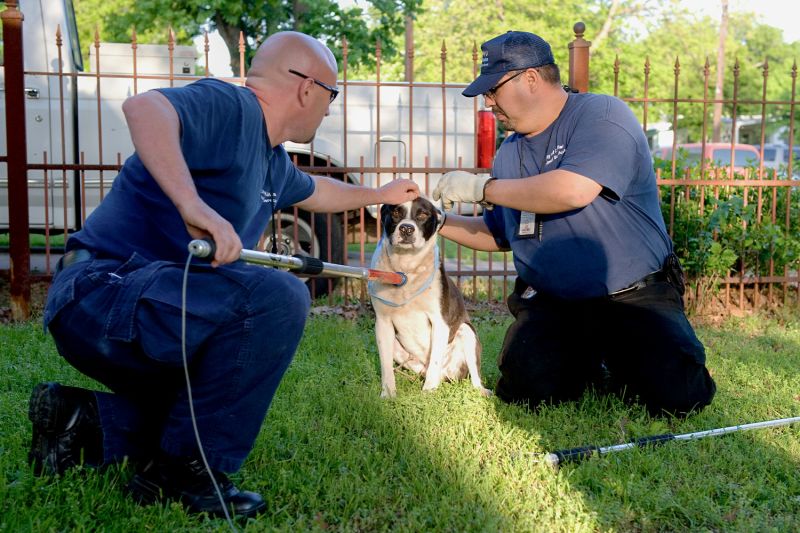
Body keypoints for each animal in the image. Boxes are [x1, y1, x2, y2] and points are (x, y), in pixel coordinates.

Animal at [368, 197, 488, 396]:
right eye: (396, 212)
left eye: (423, 215)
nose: (406, 228)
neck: (406, 268)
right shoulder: (382, 323)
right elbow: (385, 366)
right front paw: (388, 394)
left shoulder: (440, 322)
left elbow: (435, 362)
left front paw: (429, 392)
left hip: (467, 332)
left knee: (472, 375)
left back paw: (482, 391)